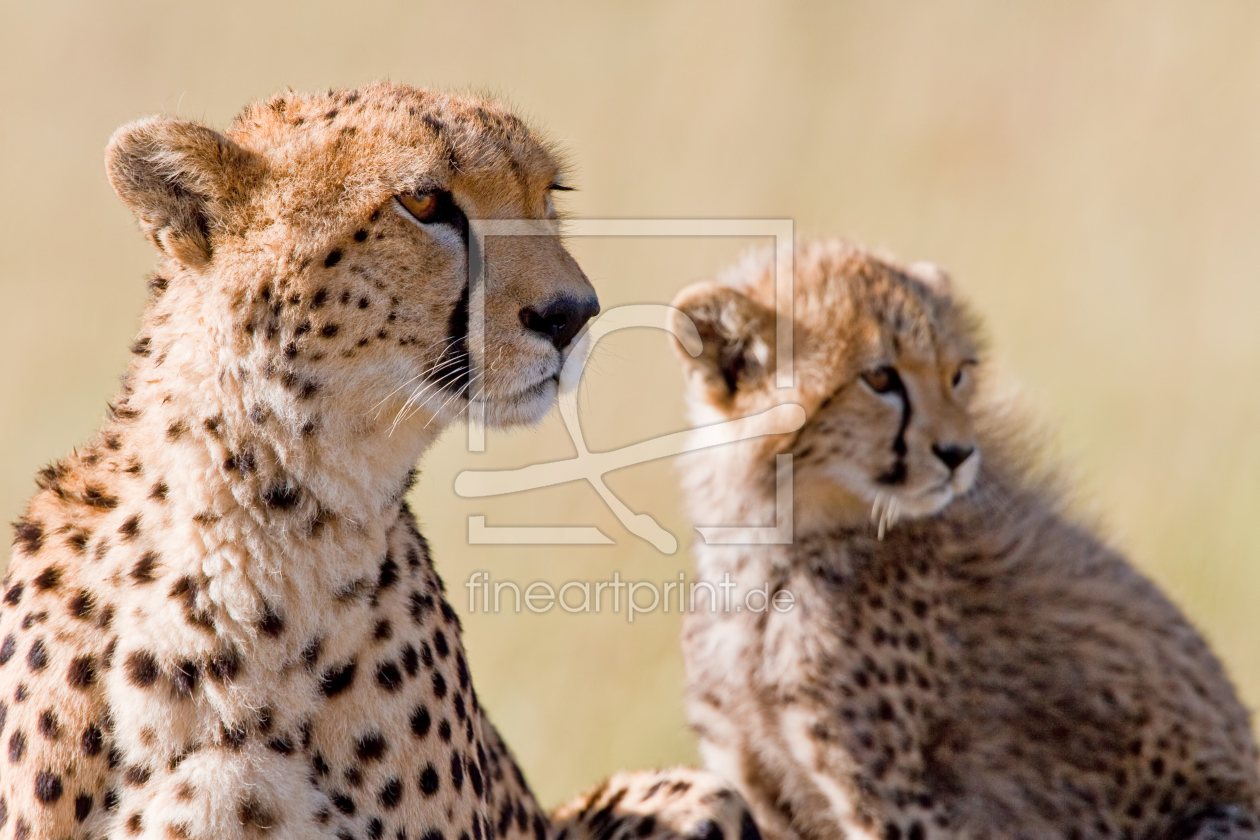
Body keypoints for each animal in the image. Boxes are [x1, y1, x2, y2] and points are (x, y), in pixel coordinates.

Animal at [670, 239, 1260, 840]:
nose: (958, 454)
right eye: (879, 379)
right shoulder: (761, 789)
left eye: (957, 374)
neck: (767, 541)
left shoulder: (904, 804)